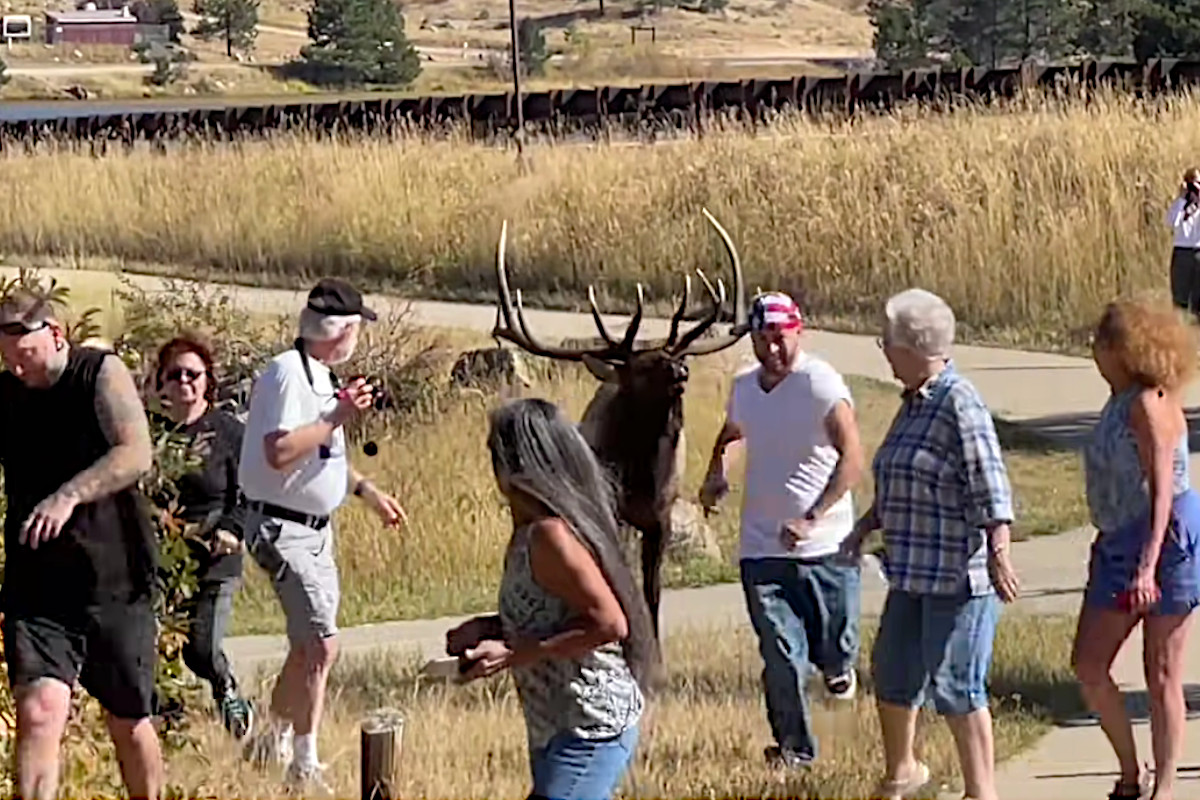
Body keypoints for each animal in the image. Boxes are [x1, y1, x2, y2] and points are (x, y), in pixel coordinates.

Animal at [492, 208, 744, 638]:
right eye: (642, 367)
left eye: (673, 356)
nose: (681, 370)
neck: (641, 477)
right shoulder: (613, 513)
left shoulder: (661, 516)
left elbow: (653, 592)